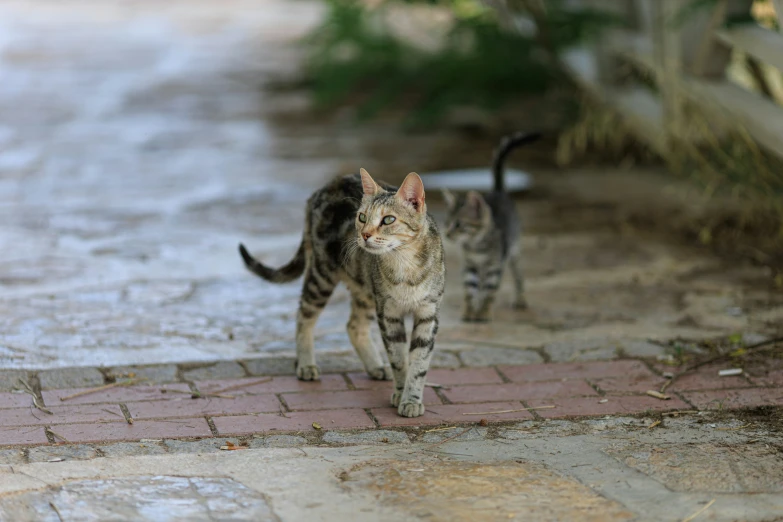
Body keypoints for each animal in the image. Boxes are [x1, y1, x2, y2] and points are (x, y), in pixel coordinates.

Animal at [237, 169, 448, 416]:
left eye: (388, 219)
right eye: (362, 217)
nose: (365, 235)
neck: (405, 268)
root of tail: (326, 186)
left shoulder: (428, 314)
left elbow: (419, 362)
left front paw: (411, 399)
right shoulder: (388, 314)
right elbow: (398, 357)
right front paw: (401, 393)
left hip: (364, 287)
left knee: (354, 326)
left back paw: (375, 366)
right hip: (322, 275)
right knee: (303, 315)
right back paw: (306, 364)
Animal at [444, 130, 544, 320]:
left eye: (459, 225)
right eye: (447, 224)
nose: (447, 235)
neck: (476, 245)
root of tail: (498, 191)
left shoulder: (495, 265)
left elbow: (490, 290)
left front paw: (483, 312)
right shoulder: (470, 265)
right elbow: (470, 289)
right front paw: (470, 310)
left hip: (513, 250)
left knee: (518, 276)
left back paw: (519, 299)